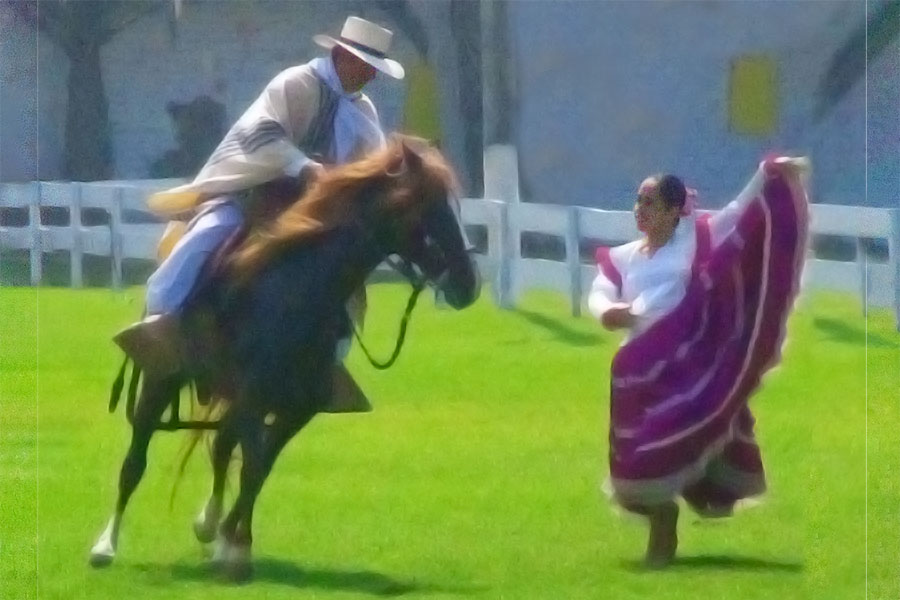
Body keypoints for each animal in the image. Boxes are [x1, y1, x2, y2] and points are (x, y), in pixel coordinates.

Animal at [90, 136, 482, 576]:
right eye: (429, 209)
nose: (468, 284)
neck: (296, 290)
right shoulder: (255, 393)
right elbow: (250, 463)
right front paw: (233, 548)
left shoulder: (297, 405)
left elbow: (258, 466)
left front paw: (232, 542)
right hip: (162, 377)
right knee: (135, 461)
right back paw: (106, 545)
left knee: (222, 446)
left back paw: (208, 525)